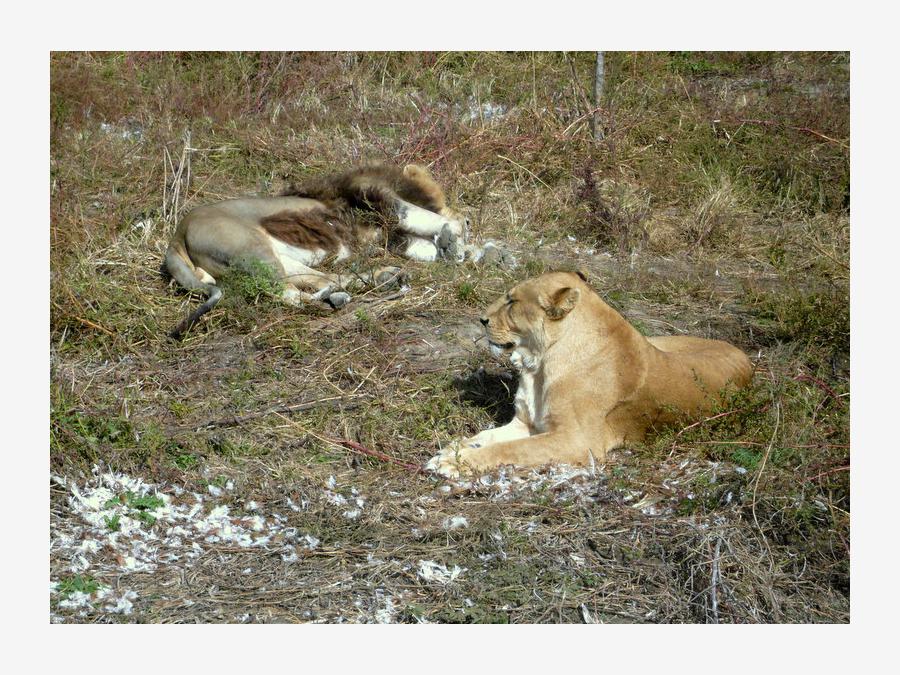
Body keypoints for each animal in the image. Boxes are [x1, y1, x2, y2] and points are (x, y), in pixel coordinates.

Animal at [166, 164, 472, 338]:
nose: (468, 217)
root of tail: (178, 233)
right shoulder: (376, 198)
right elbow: (426, 217)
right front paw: (458, 240)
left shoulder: (391, 236)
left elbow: (426, 244)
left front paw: (454, 246)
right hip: (253, 251)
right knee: (285, 294)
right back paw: (332, 299)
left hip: (280, 259)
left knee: (324, 279)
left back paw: (379, 279)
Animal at [428, 272, 752, 478]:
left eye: (512, 301)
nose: (481, 319)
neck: (539, 363)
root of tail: (746, 357)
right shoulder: (526, 423)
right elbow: (487, 436)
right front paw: (453, 450)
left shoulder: (578, 440)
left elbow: (510, 450)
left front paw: (459, 463)